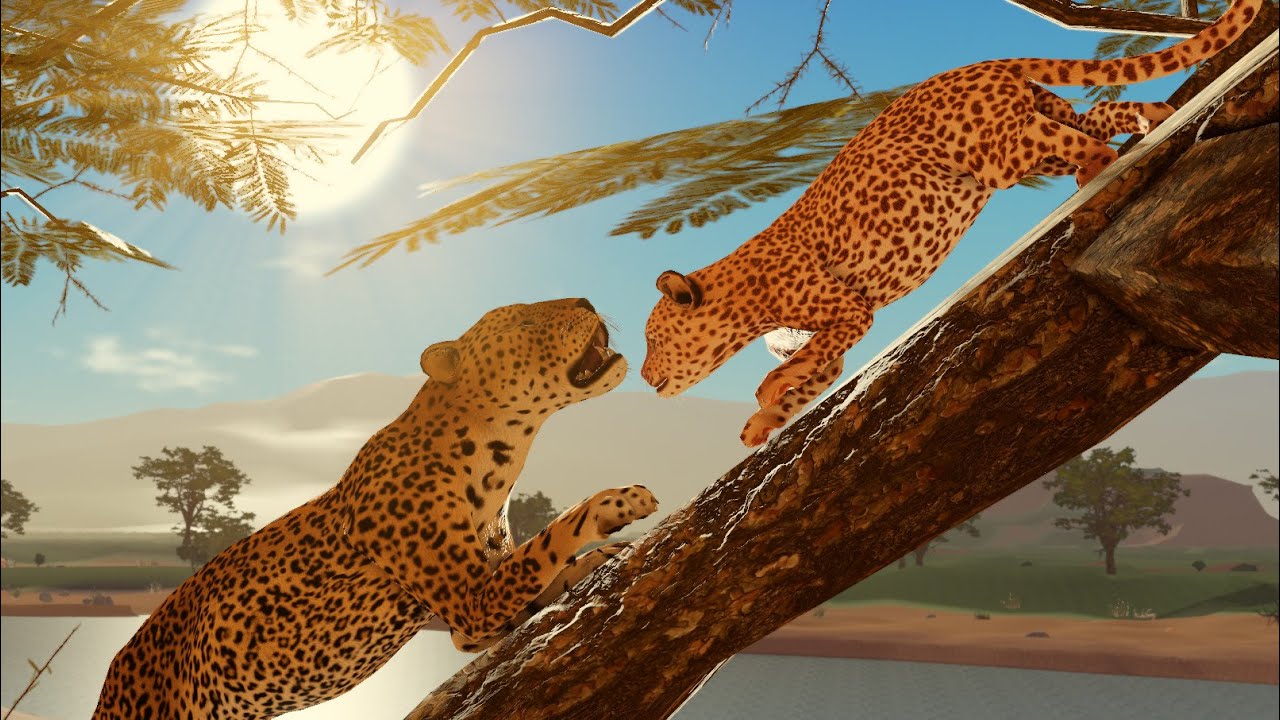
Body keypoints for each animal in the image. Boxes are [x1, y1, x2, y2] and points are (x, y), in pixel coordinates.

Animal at [92, 298, 658, 719]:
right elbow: (554, 533)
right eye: (523, 320)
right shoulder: (473, 600)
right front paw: (617, 503)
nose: (587, 301)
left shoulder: (468, 626)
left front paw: (595, 561)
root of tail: (111, 674)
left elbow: (542, 573)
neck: (499, 459)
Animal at [639, 0, 1263, 447]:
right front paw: (765, 421)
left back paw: (1098, 170)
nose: (644, 377)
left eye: (652, 339)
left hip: (999, 154)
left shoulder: (850, 313)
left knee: (1084, 143)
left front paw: (767, 393)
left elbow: (798, 367)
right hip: (1033, 123)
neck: (742, 300)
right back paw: (1151, 117)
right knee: (1097, 118)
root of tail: (979, 64)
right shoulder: (838, 334)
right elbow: (811, 377)